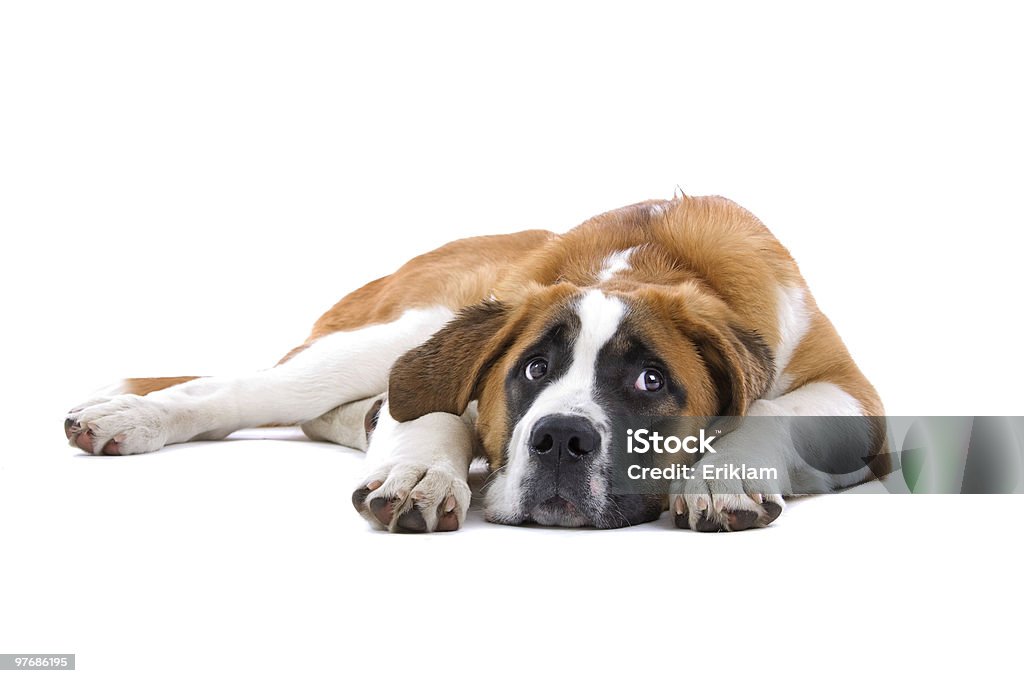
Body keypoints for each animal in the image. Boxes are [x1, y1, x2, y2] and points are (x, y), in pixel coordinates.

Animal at [64, 194, 888, 532]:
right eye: (533, 370)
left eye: (651, 380)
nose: (561, 438)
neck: (647, 262)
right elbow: (435, 411)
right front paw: (419, 474)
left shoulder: (856, 398)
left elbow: (770, 407)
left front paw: (719, 475)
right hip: (402, 326)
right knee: (248, 389)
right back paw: (128, 414)